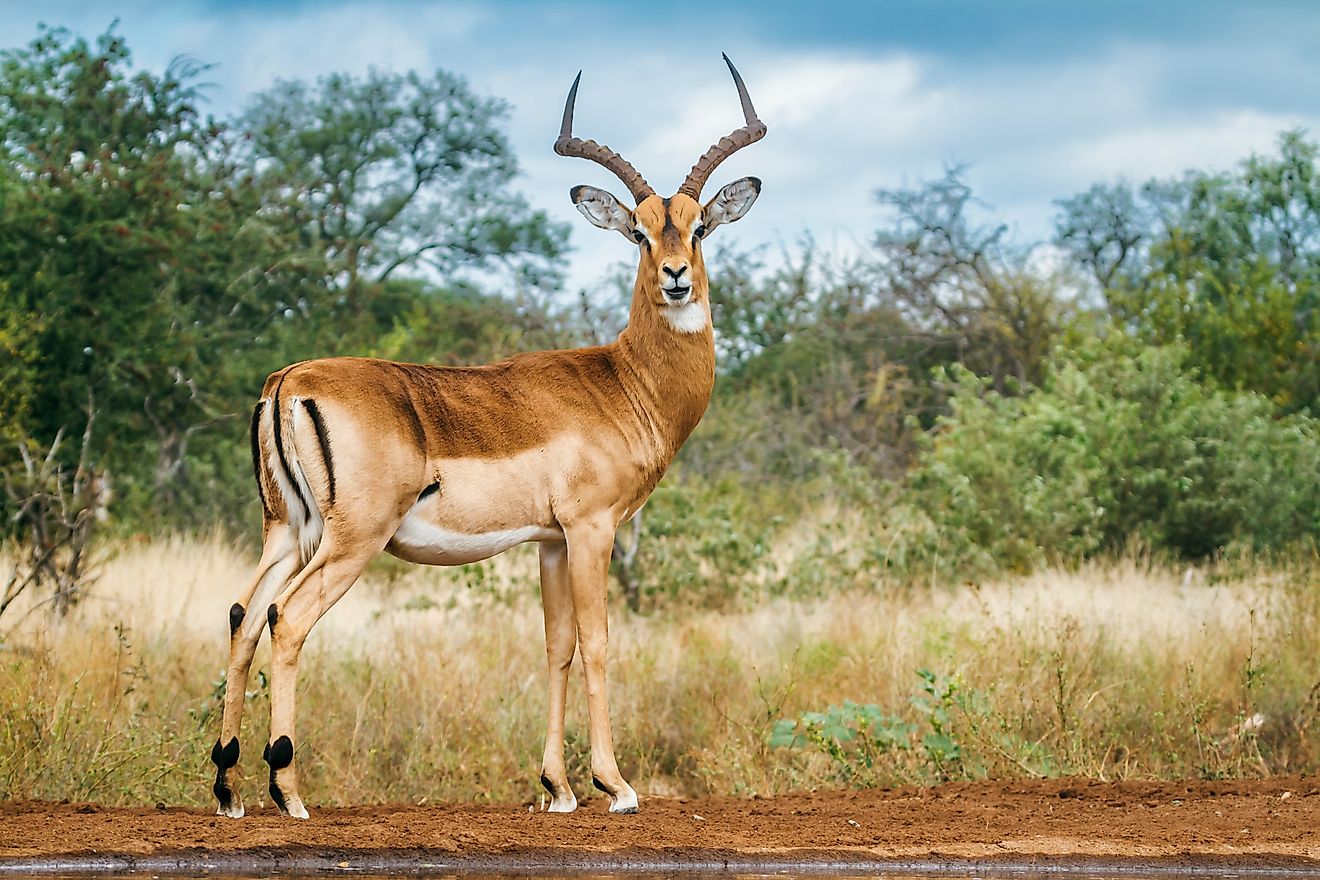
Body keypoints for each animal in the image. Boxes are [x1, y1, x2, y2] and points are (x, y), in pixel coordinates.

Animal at [210, 54, 765, 819]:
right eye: (639, 234)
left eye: (699, 228)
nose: (676, 278)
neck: (624, 381)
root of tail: (289, 379)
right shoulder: (592, 529)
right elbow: (597, 642)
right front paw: (615, 785)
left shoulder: (552, 543)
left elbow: (557, 647)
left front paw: (558, 788)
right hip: (350, 541)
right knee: (285, 619)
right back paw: (288, 792)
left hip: (285, 531)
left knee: (242, 614)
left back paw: (227, 789)